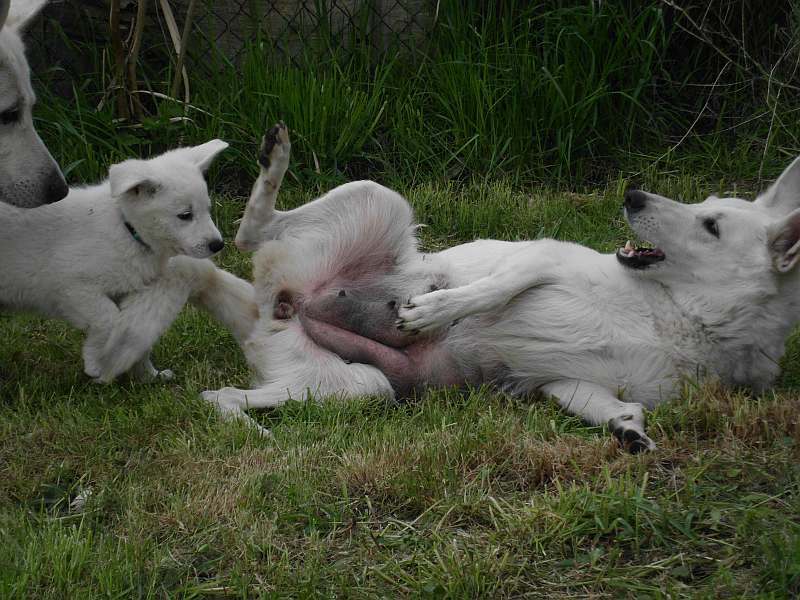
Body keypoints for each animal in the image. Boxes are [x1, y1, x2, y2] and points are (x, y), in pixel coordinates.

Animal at [0, 140, 227, 382]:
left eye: (208, 209)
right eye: (185, 215)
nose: (218, 245)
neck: (127, 228)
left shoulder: (123, 292)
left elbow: (135, 333)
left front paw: (148, 376)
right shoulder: (72, 287)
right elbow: (109, 319)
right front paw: (96, 362)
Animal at [173, 124, 800, 450]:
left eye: (711, 224)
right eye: (706, 208)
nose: (633, 194)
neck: (681, 313)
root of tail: (273, 308)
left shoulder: (564, 382)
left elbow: (616, 407)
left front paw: (630, 433)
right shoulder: (547, 255)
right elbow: (496, 287)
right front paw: (430, 311)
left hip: (352, 386)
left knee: (219, 397)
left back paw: (256, 433)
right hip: (378, 197)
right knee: (249, 232)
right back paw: (273, 158)